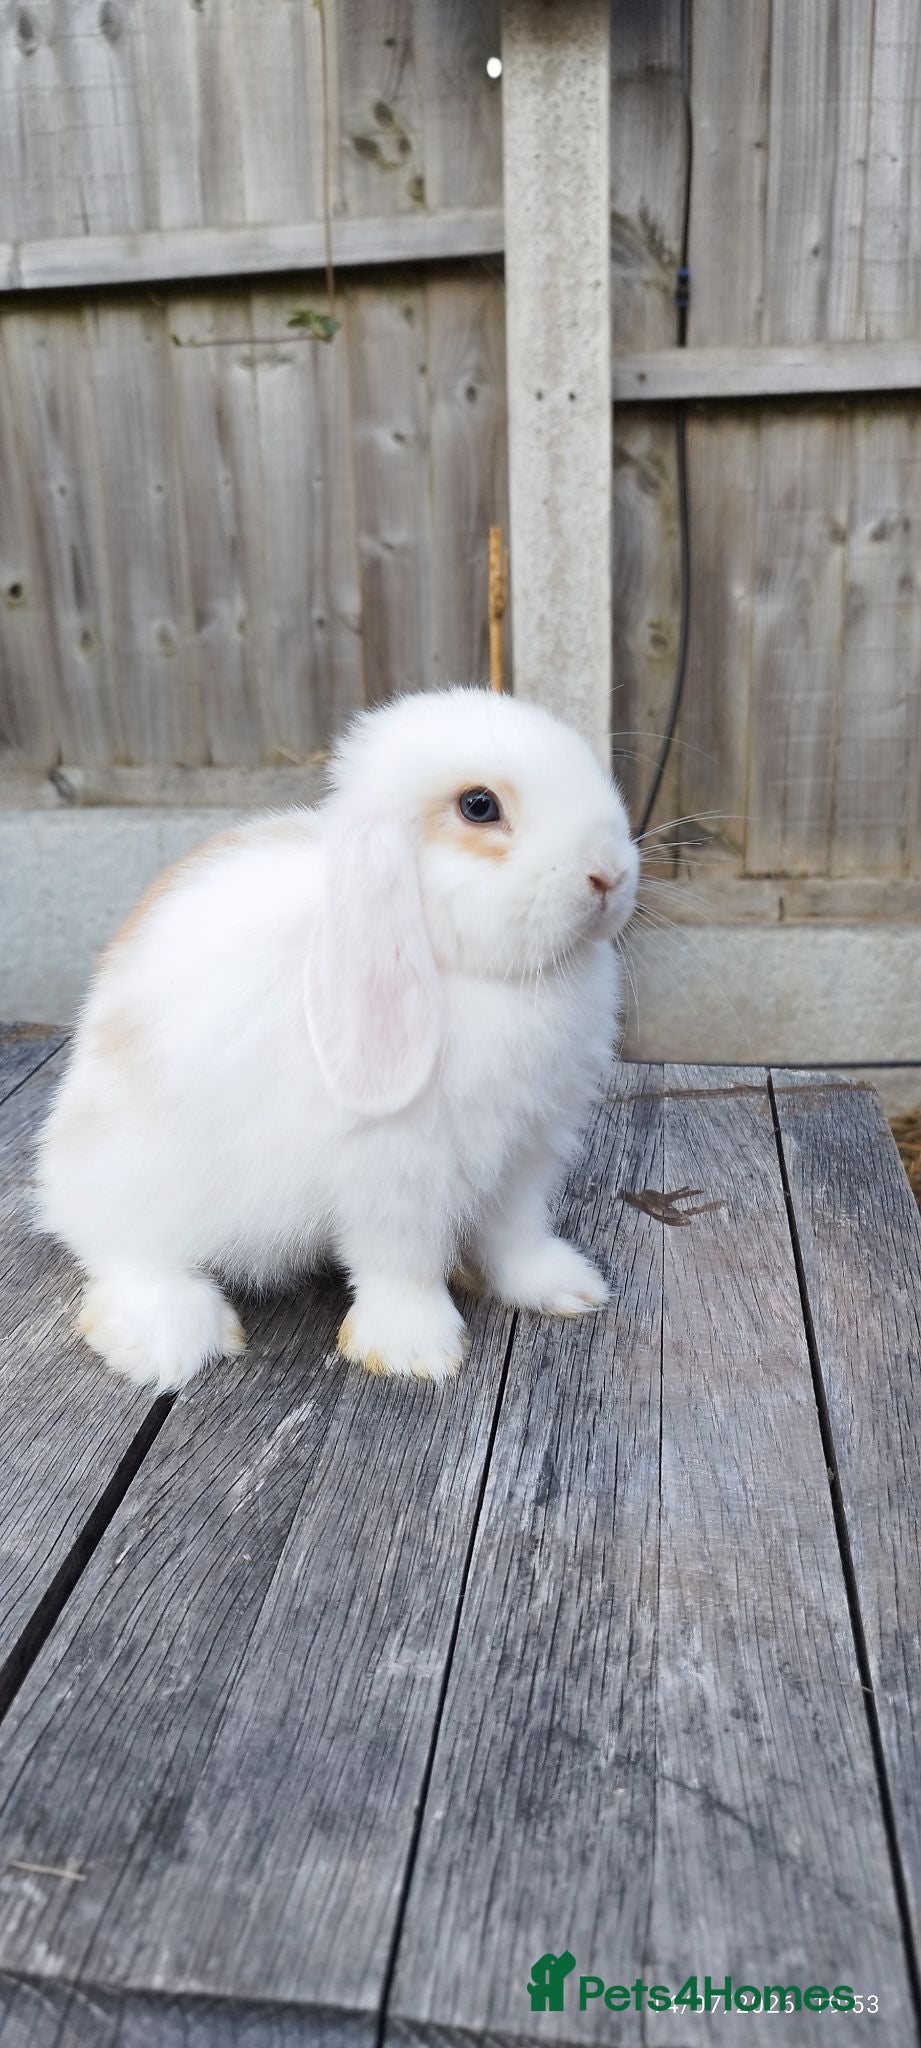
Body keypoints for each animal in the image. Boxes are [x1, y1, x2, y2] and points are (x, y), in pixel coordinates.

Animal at [36, 686, 639, 1389]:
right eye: (479, 806)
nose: (609, 874)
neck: (477, 975)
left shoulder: (525, 1153)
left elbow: (515, 1236)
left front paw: (564, 1290)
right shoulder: (394, 1173)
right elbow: (401, 1261)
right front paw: (415, 1352)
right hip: (140, 1181)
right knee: (122, 1254)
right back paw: (173, 1338)